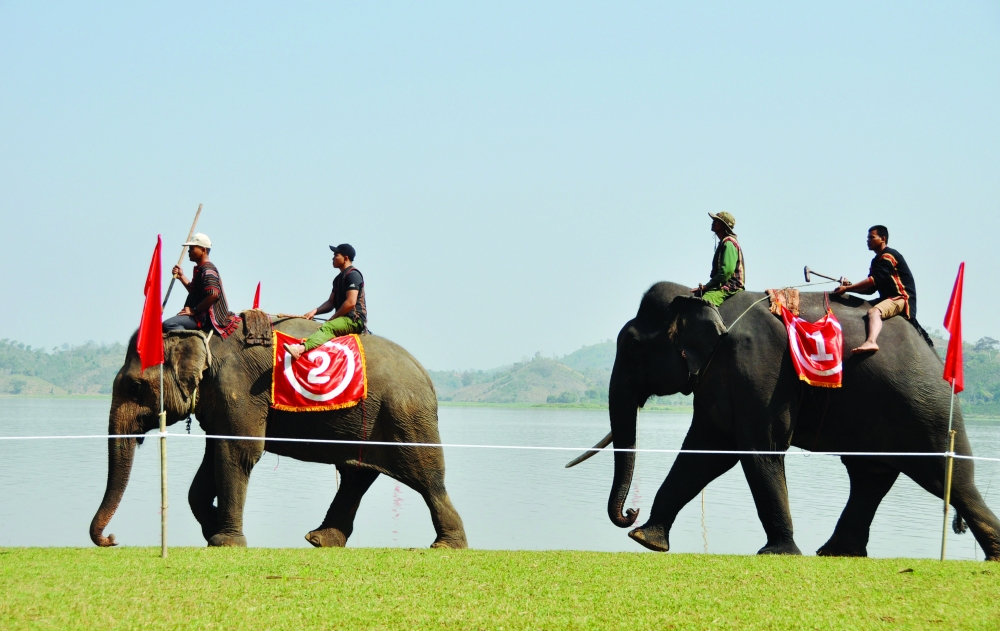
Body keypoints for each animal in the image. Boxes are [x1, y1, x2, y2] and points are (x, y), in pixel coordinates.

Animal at [90, 317, 467, 549]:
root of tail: (427, 376)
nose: (112, 539)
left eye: (135, 387)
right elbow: (213, 460)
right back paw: (320, 540)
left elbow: (238, 452)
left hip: (405, 416)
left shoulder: (240, 388)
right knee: (356, 474)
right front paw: (212, 532)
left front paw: (225, 542)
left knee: (426, 477)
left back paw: (446, 546)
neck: (202, 333)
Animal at [575, 281, 999, 560]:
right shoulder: (721, 377)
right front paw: (646, 539)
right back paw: (836, 553)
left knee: (950, 479)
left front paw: (777, 553)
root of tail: (929, 344)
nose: (630, 512)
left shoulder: (755, 365)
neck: (704, 299)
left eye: (632, 346)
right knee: (871, 475)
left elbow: (758, 449)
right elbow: (706, 451)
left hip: (925, 408)